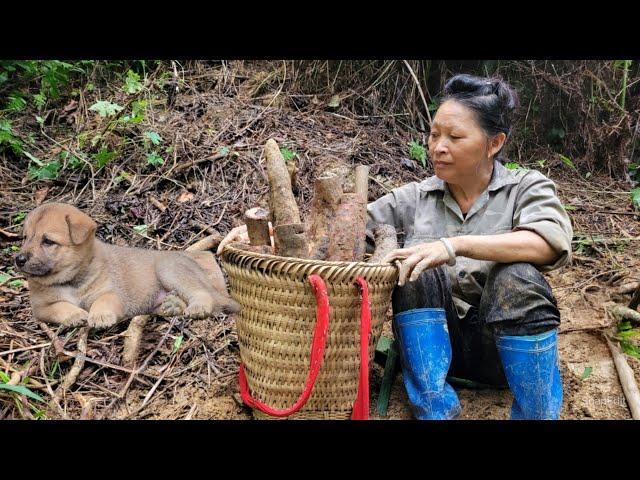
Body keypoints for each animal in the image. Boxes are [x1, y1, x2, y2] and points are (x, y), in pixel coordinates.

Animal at [15, 201, 240, 328]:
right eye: (25, 238)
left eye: (48, 241)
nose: (19, 260)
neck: (72, 281)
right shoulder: (42, 307)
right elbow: (61, 306)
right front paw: (76, 314)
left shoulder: (112, 293)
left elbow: (102, 301)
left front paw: (100, 316)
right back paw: (173, 305)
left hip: (169, 269)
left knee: (205, 296)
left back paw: (198, 307)